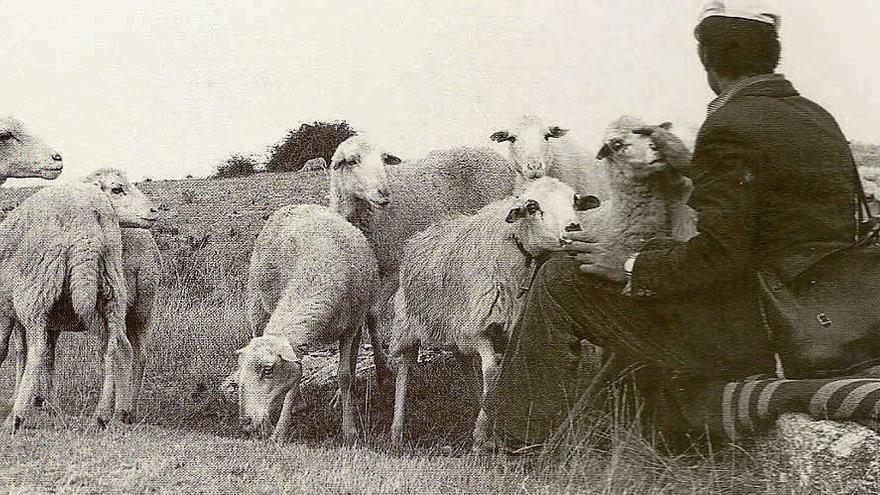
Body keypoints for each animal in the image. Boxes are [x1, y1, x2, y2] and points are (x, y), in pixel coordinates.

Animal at [0, 169, 158, 432]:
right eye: (117, 189)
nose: (154, 211)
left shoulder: (11, 310)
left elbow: (14, 350)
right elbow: (45, 355)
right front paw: (47, 403)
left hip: (36, 292)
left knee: (37, 350)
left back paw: (15, 418)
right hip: (121, 295)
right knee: (124, 349)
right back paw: (116, 413)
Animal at [223, 203, 378, 444]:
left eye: (267, 370)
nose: (246, 423)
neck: (318, 273)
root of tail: (299, 205)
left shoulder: (350, 327)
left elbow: (344, 376)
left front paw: (350, 430)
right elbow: (295, 379)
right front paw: (279, 430)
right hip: (257, 306)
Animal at [324, 136, 516, 384]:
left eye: (383, 160)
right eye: (351, 161)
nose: (384, 193)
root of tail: (493, 154)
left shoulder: (395, 270)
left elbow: (372, 314)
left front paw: (382, 369)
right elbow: (357, 325)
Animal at [388, 177, 600, 446]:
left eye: (574, 200)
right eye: (532, 206)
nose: (573, 227)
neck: (522, 254)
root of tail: (423, 232)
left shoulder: (510, 327)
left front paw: (489, 422)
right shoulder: (477, 329)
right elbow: (491, 371)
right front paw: (481, 435)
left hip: (453, 326)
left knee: (464, 362)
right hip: (409, 324)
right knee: (404, 367)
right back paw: (397, 431)